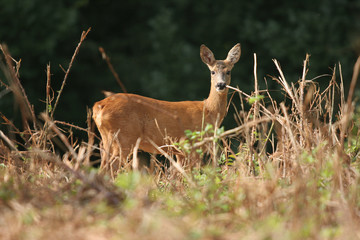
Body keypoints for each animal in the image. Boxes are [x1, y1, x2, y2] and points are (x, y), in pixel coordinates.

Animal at [91, 43, 240, 171]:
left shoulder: (180, 151)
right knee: (110, 167)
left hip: (107, 139)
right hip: (124, 137)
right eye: (212, 72)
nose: (220, 85)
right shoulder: (190, 144)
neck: (208, 110)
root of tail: (99, 106)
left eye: (228, 71)